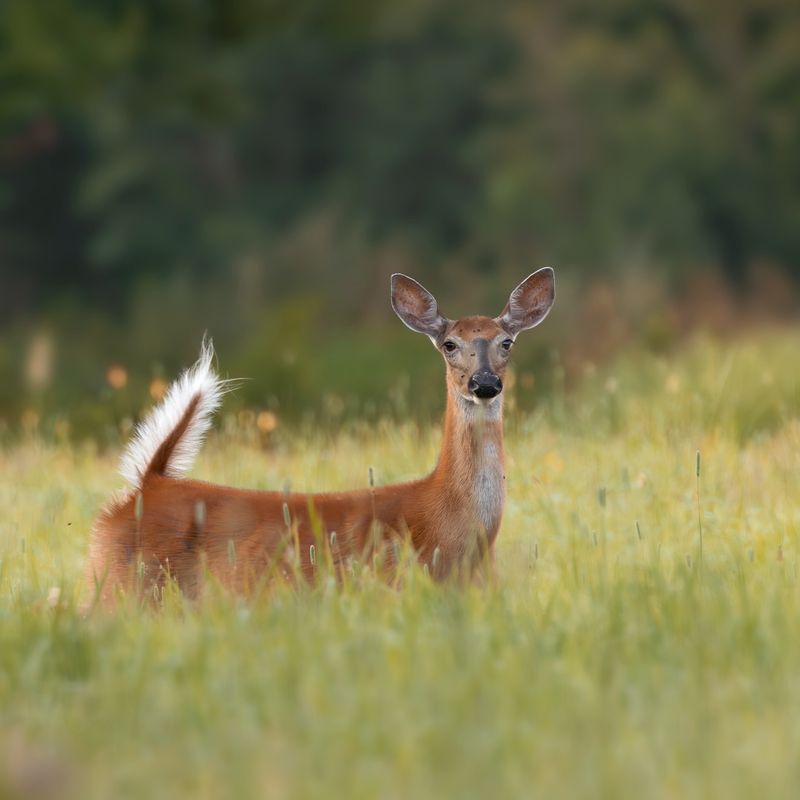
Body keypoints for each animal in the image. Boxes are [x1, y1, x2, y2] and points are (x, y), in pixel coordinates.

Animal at [84, 268, 552, 600]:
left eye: (506, 342)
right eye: (449, 344)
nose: (485, 383)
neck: (446, 524)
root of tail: (146, 484)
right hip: (118, 589)